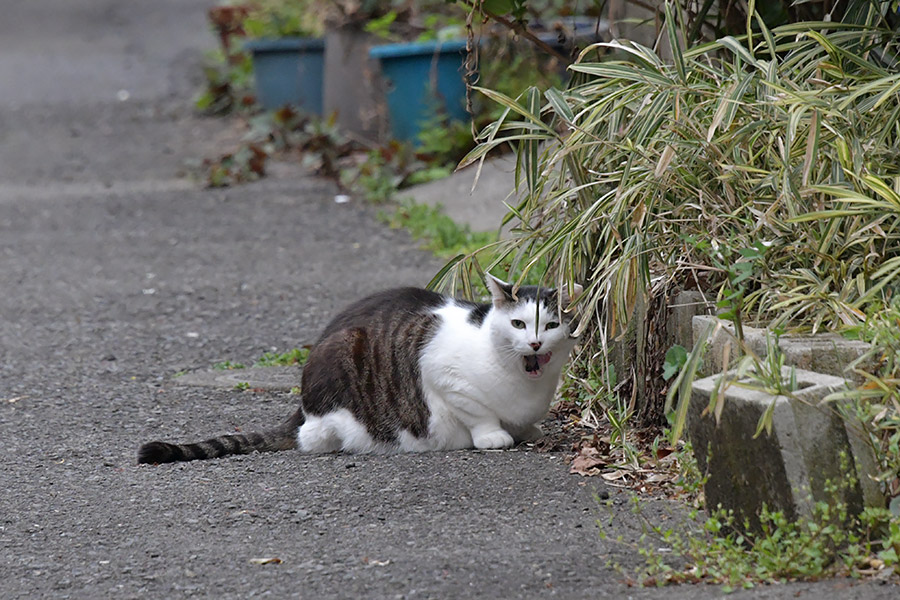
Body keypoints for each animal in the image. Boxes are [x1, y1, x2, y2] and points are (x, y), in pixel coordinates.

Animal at [137, 274, 580, 464]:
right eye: (518, 324)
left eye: (551, 325)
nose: (535, 344)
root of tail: (302, 406)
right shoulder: (444, 373)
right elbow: (477, 410)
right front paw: (493, 436)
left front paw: (528, 430)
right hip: (341, 364)